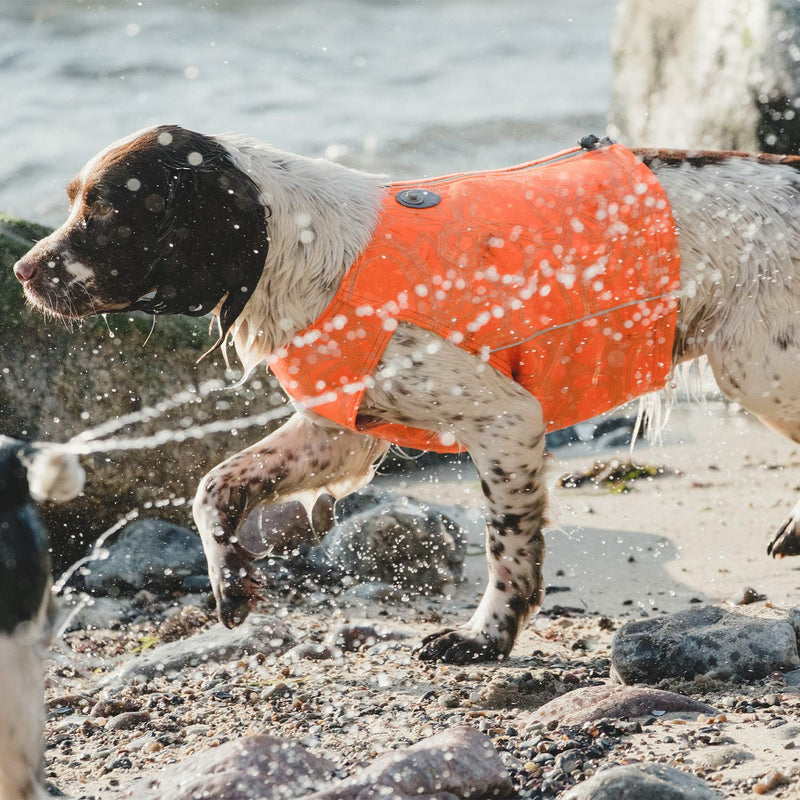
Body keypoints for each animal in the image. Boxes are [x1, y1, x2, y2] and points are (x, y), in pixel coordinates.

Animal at [12, 125, 800, 664]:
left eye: (107, 213)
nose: (21, 270)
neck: (301, 249)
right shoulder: (337, 427)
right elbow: (215, 484)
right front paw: (230, 580)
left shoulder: (506, 420)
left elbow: (507, 548)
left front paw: (484, 639)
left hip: (755, 366)